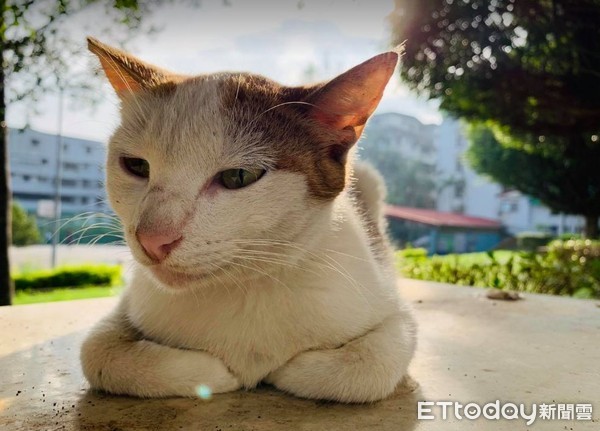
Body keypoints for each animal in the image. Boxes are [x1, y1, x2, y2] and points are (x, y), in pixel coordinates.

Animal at [81, 37, 418, 404]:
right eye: (136, 166)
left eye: (239, 176)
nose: (152, 239)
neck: (246, 285)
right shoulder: (127, 306)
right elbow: (96, 353)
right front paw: (213, 374)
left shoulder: (392, 310)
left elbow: (372, 364)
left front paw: (290, 370)